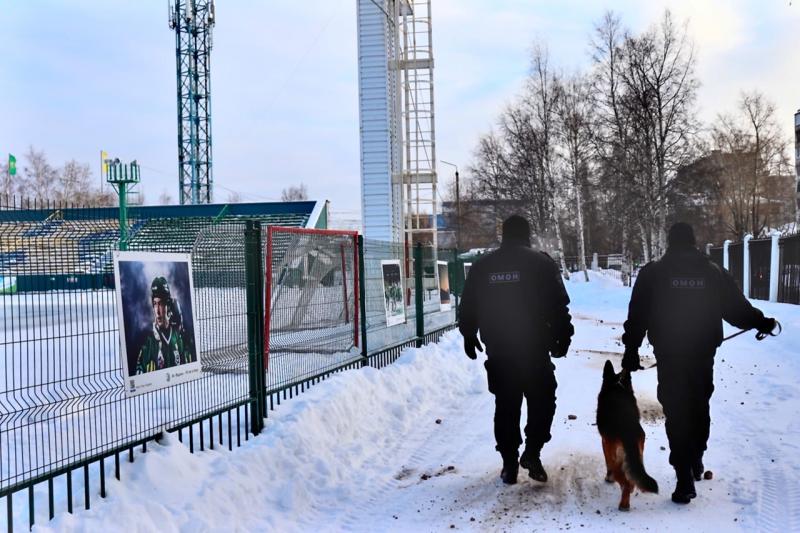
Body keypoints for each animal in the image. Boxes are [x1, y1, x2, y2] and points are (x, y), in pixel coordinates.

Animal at [596, 360, 660, 510]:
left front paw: (608, 478)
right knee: (633, 478)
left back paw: (624, 503)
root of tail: (628, 431)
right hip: (638, 455)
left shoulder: (605, 443)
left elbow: (607, 464)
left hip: (617, 457)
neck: (617, 386)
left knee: (625, 480)